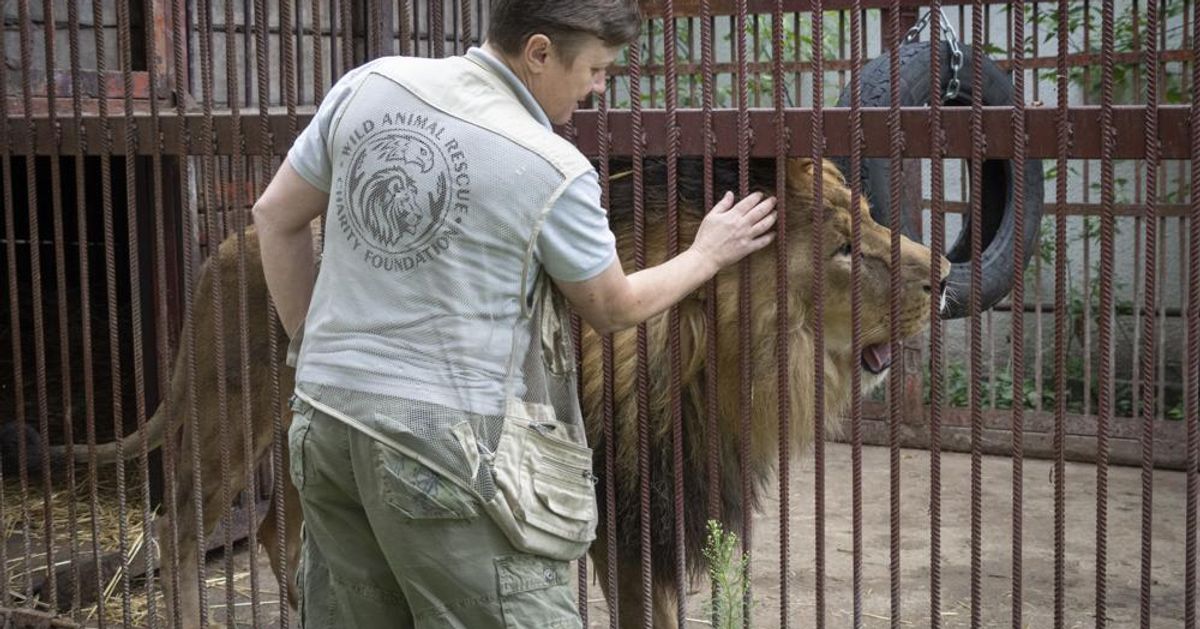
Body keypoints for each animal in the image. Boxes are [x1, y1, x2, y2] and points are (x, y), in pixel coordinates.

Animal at [46, 154, 945, 624]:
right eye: (844, 248)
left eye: (873, 218)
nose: (943, 274)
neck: (709, 364)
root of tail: (228, 241)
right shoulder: (625, 510)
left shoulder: (669, 501)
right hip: (224, 420)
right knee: (175, 532)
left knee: (277, 530)